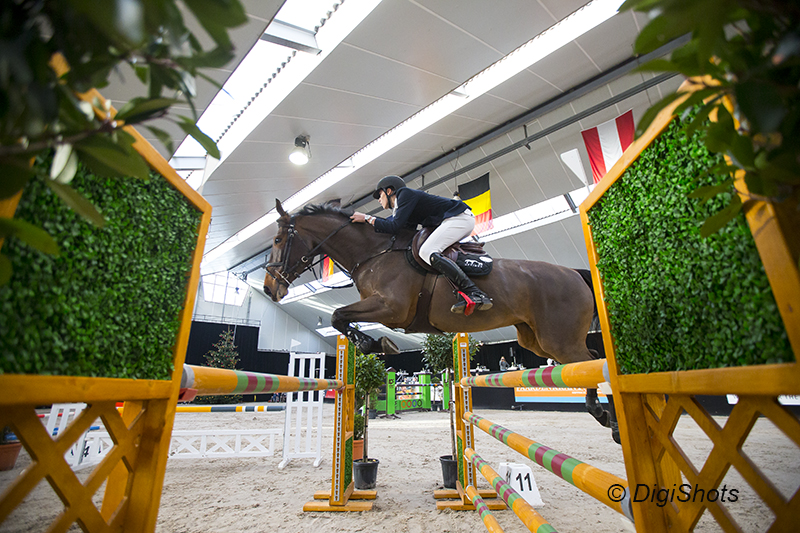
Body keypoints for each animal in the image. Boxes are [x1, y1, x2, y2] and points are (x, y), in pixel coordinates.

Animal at [262, 200, 612, 428]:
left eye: (279, 239)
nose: (268, 289)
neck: (374, 254)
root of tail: (574, 273)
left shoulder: (391, 308)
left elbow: (337, 315)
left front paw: (372, 344)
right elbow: (341, 318)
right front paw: (373, 343)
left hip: (559, 340)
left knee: (590, 363)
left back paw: (606, 417)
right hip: (536, 340)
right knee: (588, 361)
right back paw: (605, 417)